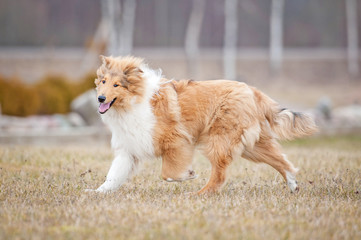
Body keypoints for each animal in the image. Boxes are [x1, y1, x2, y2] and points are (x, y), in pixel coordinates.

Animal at [86, 55, 316, 194]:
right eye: (103, 81)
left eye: (117, 85)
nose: (100, 98)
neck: (134, 101)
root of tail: (252, 90)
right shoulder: (129, 149)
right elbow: (113, 175)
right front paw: (97, 192)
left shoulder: (177, 141)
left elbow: (167, 173)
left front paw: (188, 175)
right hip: (250, 145)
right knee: (281, 160)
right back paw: (293, 185)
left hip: (219, 141)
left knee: (219, 175)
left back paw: (200, 193)